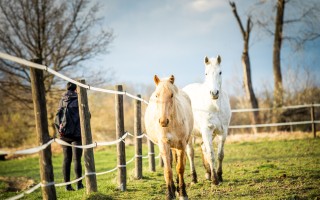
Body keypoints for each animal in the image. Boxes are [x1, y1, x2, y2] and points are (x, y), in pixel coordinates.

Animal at [182, 55, 232, 185]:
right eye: (206, 73)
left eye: (220, 72)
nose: (214, 93)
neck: (215, 106)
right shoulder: (206, 131)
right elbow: (211, 154)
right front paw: (215, 180)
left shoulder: (223, 132)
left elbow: (220, 155)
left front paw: (219, 176)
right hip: (191, 135)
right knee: (191, 153)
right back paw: (194, 178)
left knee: (203, 147)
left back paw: (208, 173)